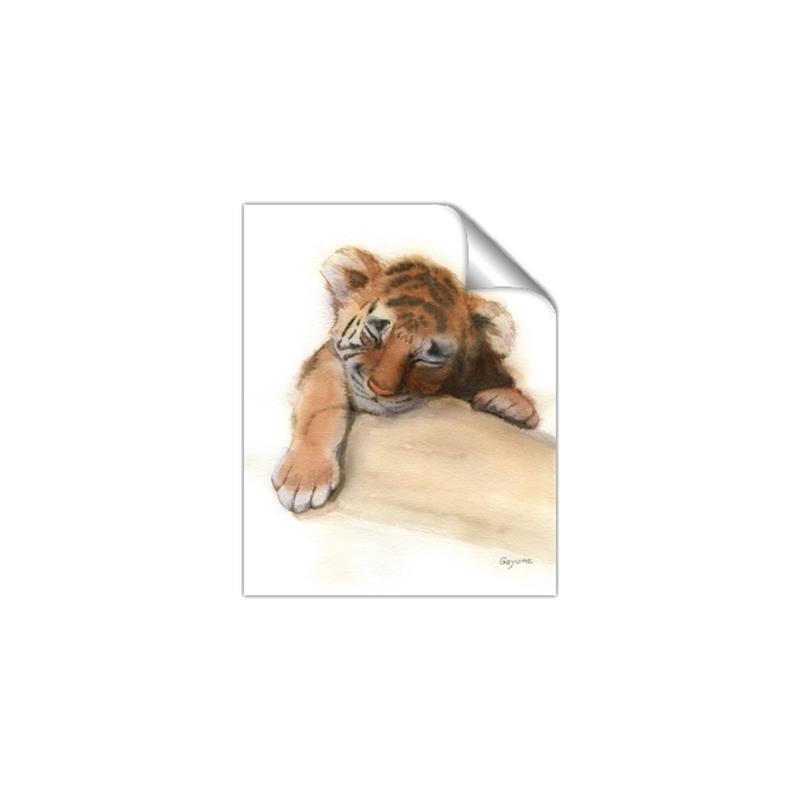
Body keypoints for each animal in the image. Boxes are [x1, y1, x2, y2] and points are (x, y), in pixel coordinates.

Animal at [272, 246, 540, 513]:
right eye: (375, 333)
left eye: (428, 357)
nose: (379, 389)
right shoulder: (328, 360)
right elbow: (321, 405)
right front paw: (304, 477)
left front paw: (510, 400)